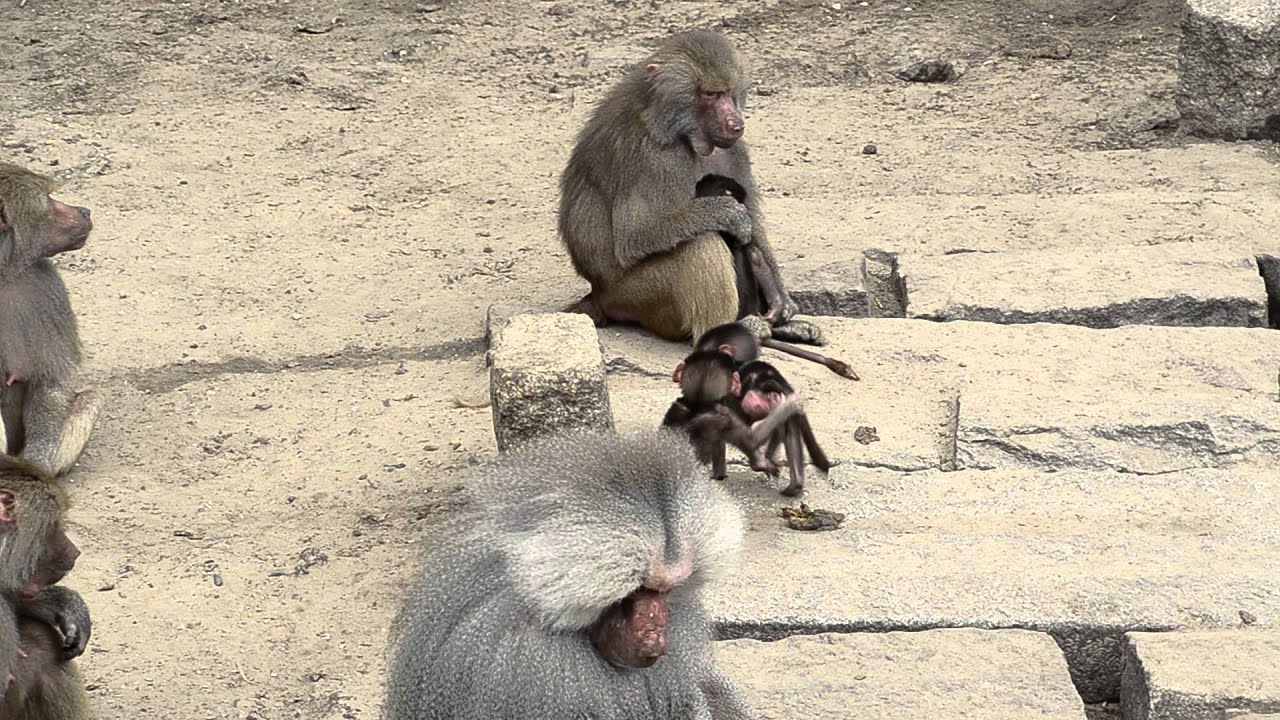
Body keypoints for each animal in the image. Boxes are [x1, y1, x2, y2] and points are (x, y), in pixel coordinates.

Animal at [0, 164, 102, 478]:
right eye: (48, 199)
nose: (85, 211)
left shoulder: (47, 288)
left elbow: (51, 381)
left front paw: (36, 466)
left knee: (90, 399)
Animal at [558, 30, 824, 348]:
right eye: (710, 95)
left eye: (728, 91)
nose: (736, 124)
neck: (685, 132)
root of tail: (598, 294)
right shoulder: (654, 158)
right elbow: (635, 234)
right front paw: (730, 213)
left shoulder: (735, 151)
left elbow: (755, 227)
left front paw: (782, 302)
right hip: (638, 295)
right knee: (700, 242)